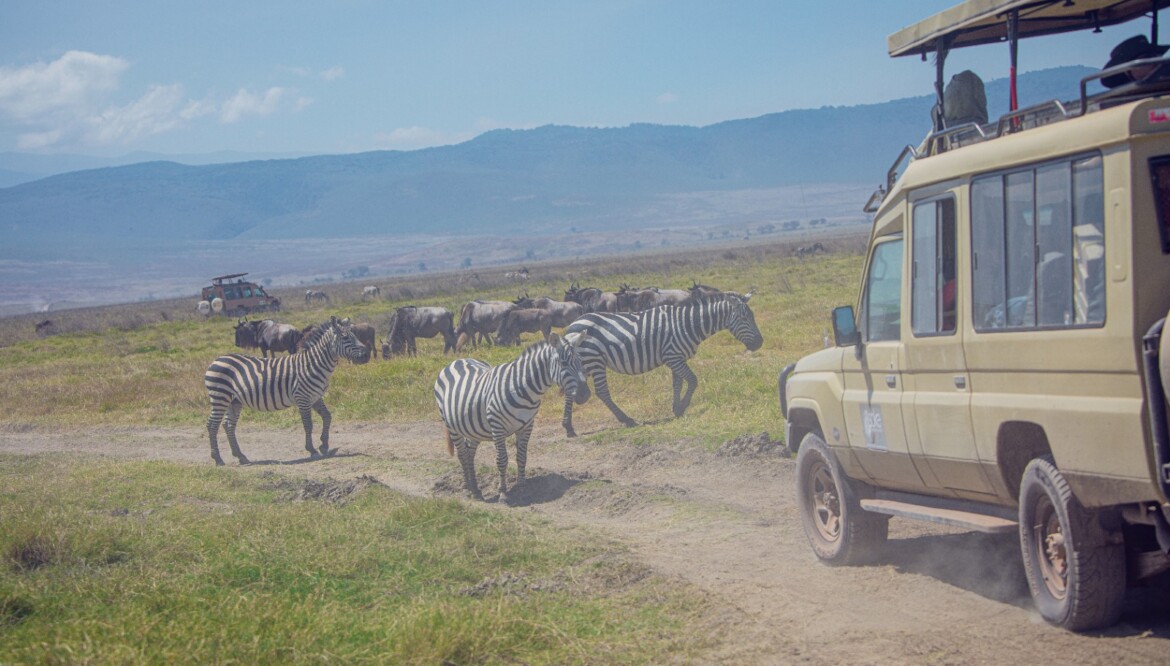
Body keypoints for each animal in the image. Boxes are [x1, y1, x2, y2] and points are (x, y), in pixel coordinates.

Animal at [202, 316, 369, 461]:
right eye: (346, 338)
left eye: (355, 335)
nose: (367, 355)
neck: (313, 364)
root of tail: (216, 360)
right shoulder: (303, 398)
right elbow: (308, 424)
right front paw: (312, 449)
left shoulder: (316, 397)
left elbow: (327, 417)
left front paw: (324, 445)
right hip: (220, 397)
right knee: (212, 425)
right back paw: (218, 459)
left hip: (234, 401)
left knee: (228, 425)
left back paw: (240, 456)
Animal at [435, 330, 589, 498]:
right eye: (564, 363)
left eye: (581, 362)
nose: (585, 395)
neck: (523, 388)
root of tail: (458, 360)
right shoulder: (497, 426)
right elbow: (502, 459)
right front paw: (503, 492)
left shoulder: (527, 425)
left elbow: (522, 457)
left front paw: (521, 486)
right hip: (452, 426)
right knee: (462, 454)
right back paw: (467, 487)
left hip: (473, 427)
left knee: (470, 453)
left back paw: (475, 488)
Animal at [561, 293, 762, 433]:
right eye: (745, 318)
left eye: (753, 317)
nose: (760, 343)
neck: (689, 325)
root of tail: (572, 326)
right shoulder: (673, 356)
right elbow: (693, 380)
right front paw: (682, 406)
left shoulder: (676, 358)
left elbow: (678, 383)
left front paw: (676, 408)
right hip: (594, 360)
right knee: (602, 392)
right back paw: (627, 420)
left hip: (583, 363)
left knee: (572, 389)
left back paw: (568, 427)